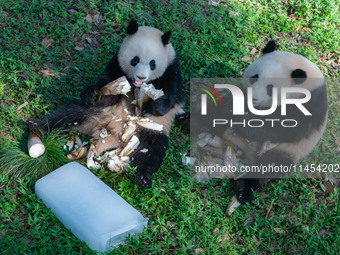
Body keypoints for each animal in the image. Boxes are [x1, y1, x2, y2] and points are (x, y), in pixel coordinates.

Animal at [27, 19, 185, 187]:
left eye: (152, 63)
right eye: (135, 59)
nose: (141, 77)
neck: (137, 86)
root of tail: (111, 135)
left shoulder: (171, 71)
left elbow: (168, 100)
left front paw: (155, 104)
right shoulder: (116, 64)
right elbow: (107, 90)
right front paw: (93, 93)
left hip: (148, 129)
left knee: (152, 149)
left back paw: (143, 177)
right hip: (97, 112)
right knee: (69, 114)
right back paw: (37, 126)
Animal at [222, 40, 328, 204]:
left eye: (270, 88)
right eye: (254, 77)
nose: (253, 98)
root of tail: (248, 151)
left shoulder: (312, 103)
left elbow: (284, 129)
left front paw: (241, 120)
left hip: (286, 150)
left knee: (270, 167)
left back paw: (244, 188)